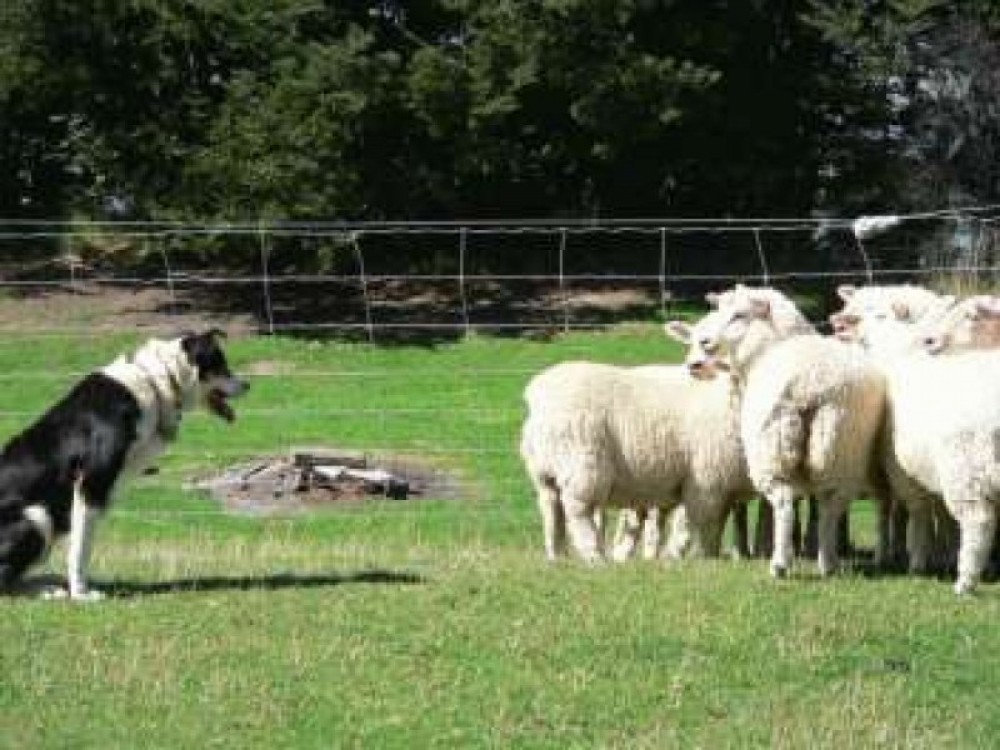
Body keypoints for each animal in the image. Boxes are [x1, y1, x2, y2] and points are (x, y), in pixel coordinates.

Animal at [0, 332, 248, 604]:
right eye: (220, 364)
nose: (248, 385)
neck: (155, 383)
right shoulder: (91, 484)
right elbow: (80, 549)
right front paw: (81, 594)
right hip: (37, 515)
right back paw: (47, 590)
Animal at [524, 358, 752, 564]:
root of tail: (538, 394)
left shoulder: (725, 487)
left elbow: (715, 523)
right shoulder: (707, 482)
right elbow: (703, 525)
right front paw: (703, 558)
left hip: (544, 472)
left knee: (551, 509)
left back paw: (557, 556)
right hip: (582, 465)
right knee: (578, 510)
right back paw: (594, 556)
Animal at [684, 284, 888, 580]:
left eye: (739, 314)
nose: (705, 341)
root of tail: (812, 381)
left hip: (774, 445)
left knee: (782, 502)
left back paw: (780, 564)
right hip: (838, 443)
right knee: (829, 503)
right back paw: (828, 562)